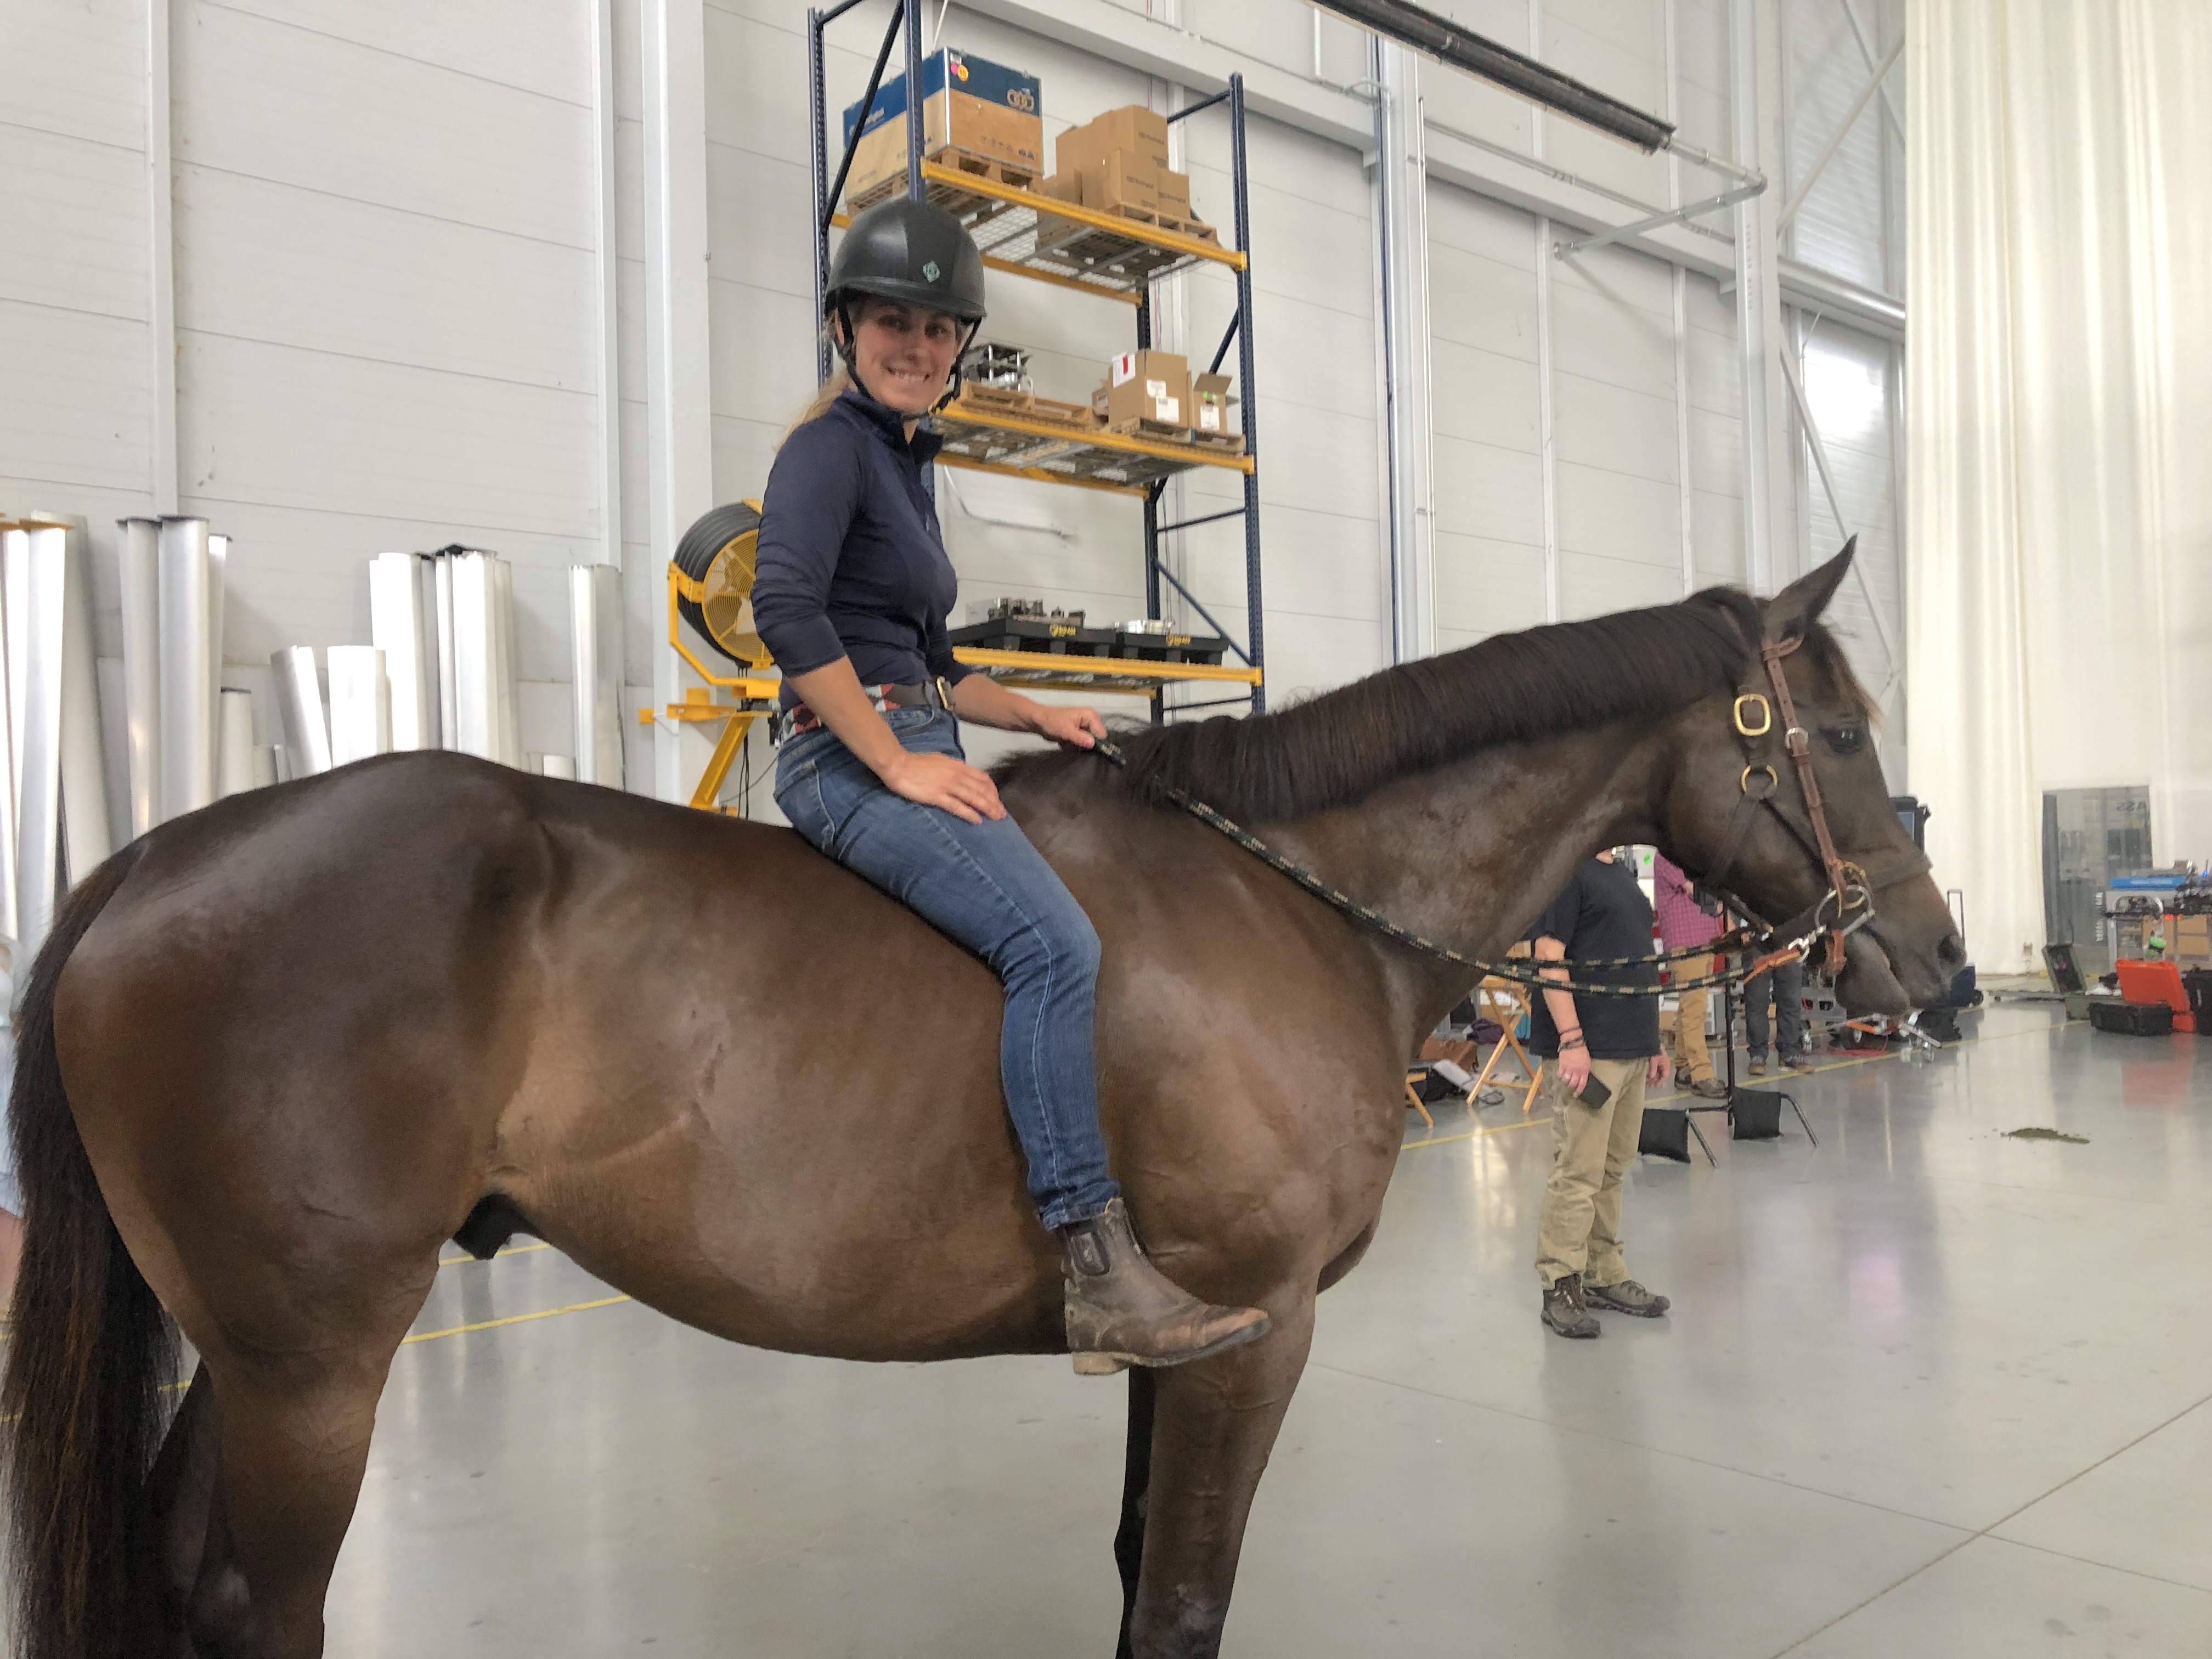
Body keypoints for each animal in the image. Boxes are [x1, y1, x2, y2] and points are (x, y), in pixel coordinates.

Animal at [13, 548, 1955, 1659]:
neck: (1291, 899)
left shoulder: (1184, 1349)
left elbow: (1134, 1567)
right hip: (311, 1368)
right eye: (1841, 736)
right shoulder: (1252, 1339)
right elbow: (1182, 1602)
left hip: (249, 1361)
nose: (1930, 964)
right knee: (256, 1608)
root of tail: (151, 864)